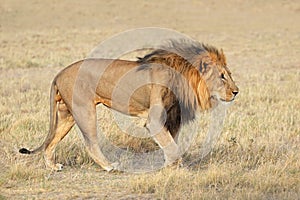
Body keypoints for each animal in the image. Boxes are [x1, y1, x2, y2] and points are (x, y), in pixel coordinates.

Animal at [18, 39, 239, 171]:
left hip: (66, 115)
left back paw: (53, 167)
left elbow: (171, 144)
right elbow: (172, 146)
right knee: (90, 143)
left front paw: (170, 166)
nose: (236, 92)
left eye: (229, 74)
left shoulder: (172, 116)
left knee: (51, 142)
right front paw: (178, 167)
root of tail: (59, 73)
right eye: (222, 76)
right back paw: (109, 166)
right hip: (84, 110)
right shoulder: (155, 119)